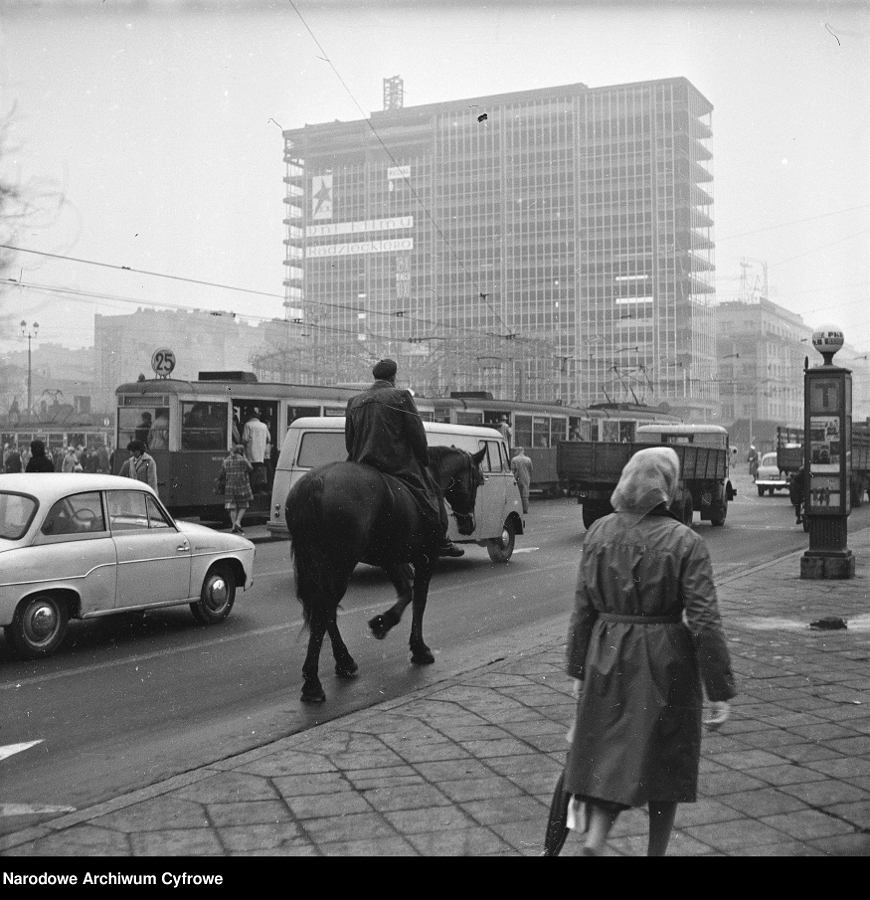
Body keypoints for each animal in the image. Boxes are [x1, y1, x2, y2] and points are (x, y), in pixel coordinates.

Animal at [290, 442, 488, 704]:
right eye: (476, 480)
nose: (469, 524)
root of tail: (316, 482)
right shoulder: (426, 559)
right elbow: (419, 601)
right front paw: (418, 647)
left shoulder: (391, 559)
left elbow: (406, 593)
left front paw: (384, 622)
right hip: (340, 565)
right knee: (325, 610)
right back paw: (314, 682)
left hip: (319, 565)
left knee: (326, 610)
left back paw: (344, 662)